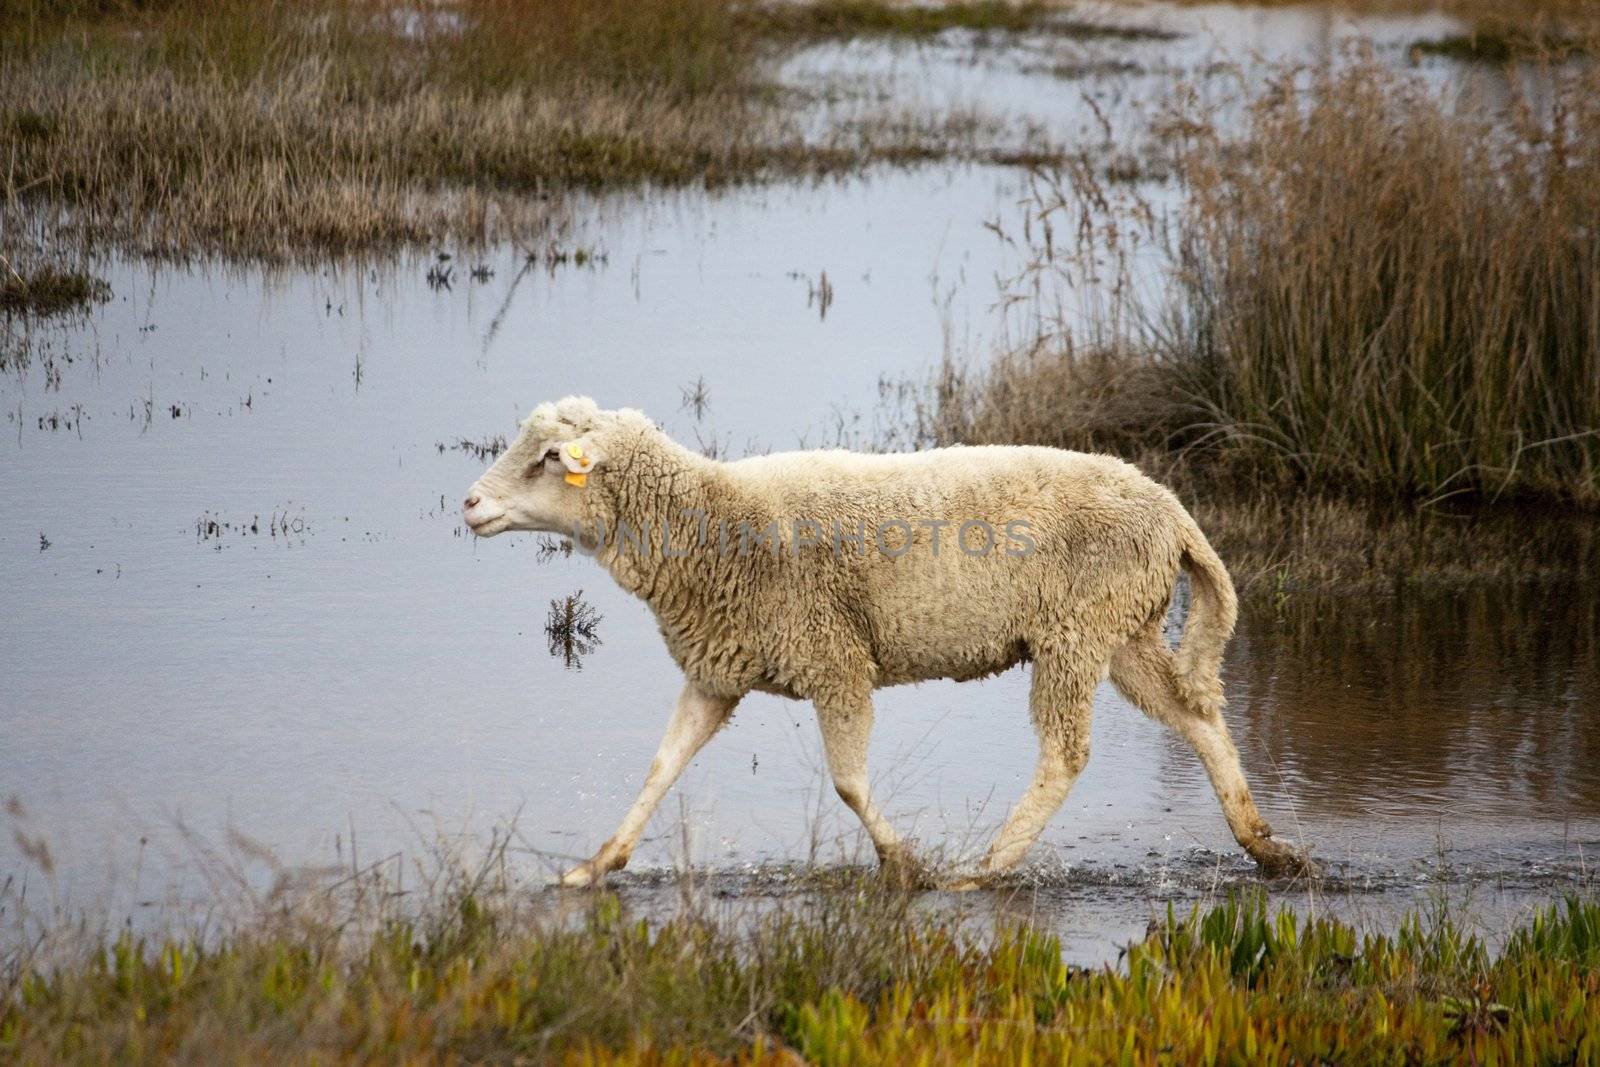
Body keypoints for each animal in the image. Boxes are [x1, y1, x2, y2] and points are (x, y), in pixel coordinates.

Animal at [464, 396, 1312, 889]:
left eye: (549, 458)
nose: (468, 503)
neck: (711, 525)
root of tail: (1170, 507)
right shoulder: (718, 672)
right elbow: (661, 766)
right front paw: (595, 864)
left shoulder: (835, 659)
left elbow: (847, 782)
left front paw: (905, 863)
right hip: (1123, 627)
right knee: (1198, 718)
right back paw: (1265, 846)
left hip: (1077, 627)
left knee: (1066, 753)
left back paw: (988, 866)